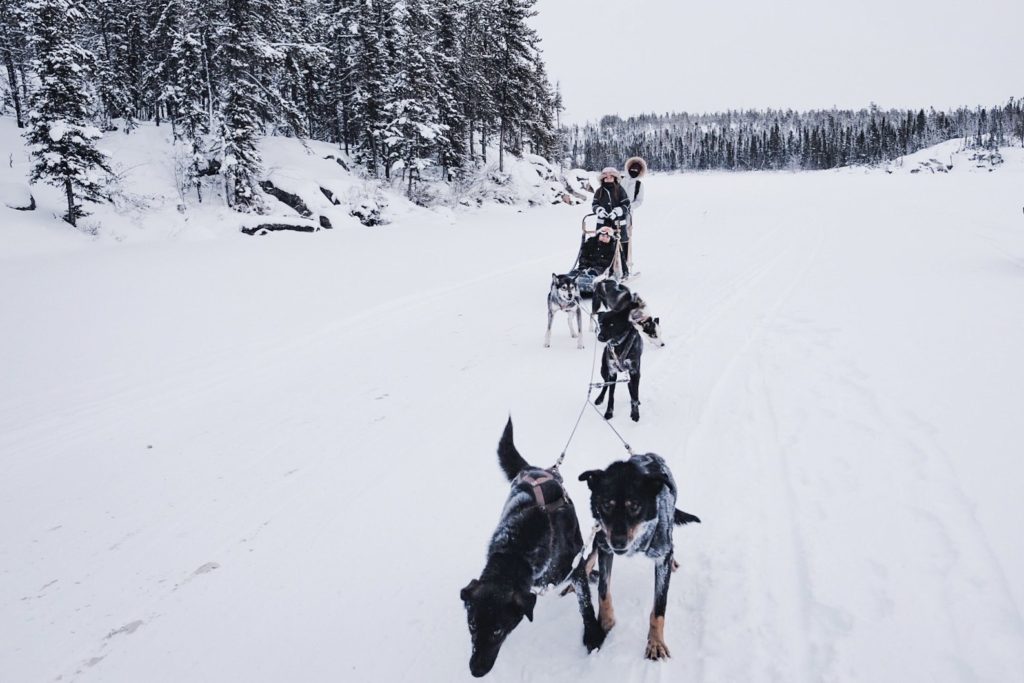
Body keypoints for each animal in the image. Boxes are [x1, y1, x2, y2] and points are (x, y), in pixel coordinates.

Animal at [460, 419, 602, 675]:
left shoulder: (572, 569)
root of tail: (535, 468)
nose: (475, 670)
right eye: (472, 625)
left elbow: (585, 604)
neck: (515, 551)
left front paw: (593, 636)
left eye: (497, 630)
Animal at [581, 456, 700, 659]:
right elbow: (603, 592)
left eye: (634, 505)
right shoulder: (605, 547)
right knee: (590, 556)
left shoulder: (661, 558)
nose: (618, 542)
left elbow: (659, 608)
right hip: (599, 534)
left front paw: (656, 642)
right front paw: (605, 623)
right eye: (606, 504)